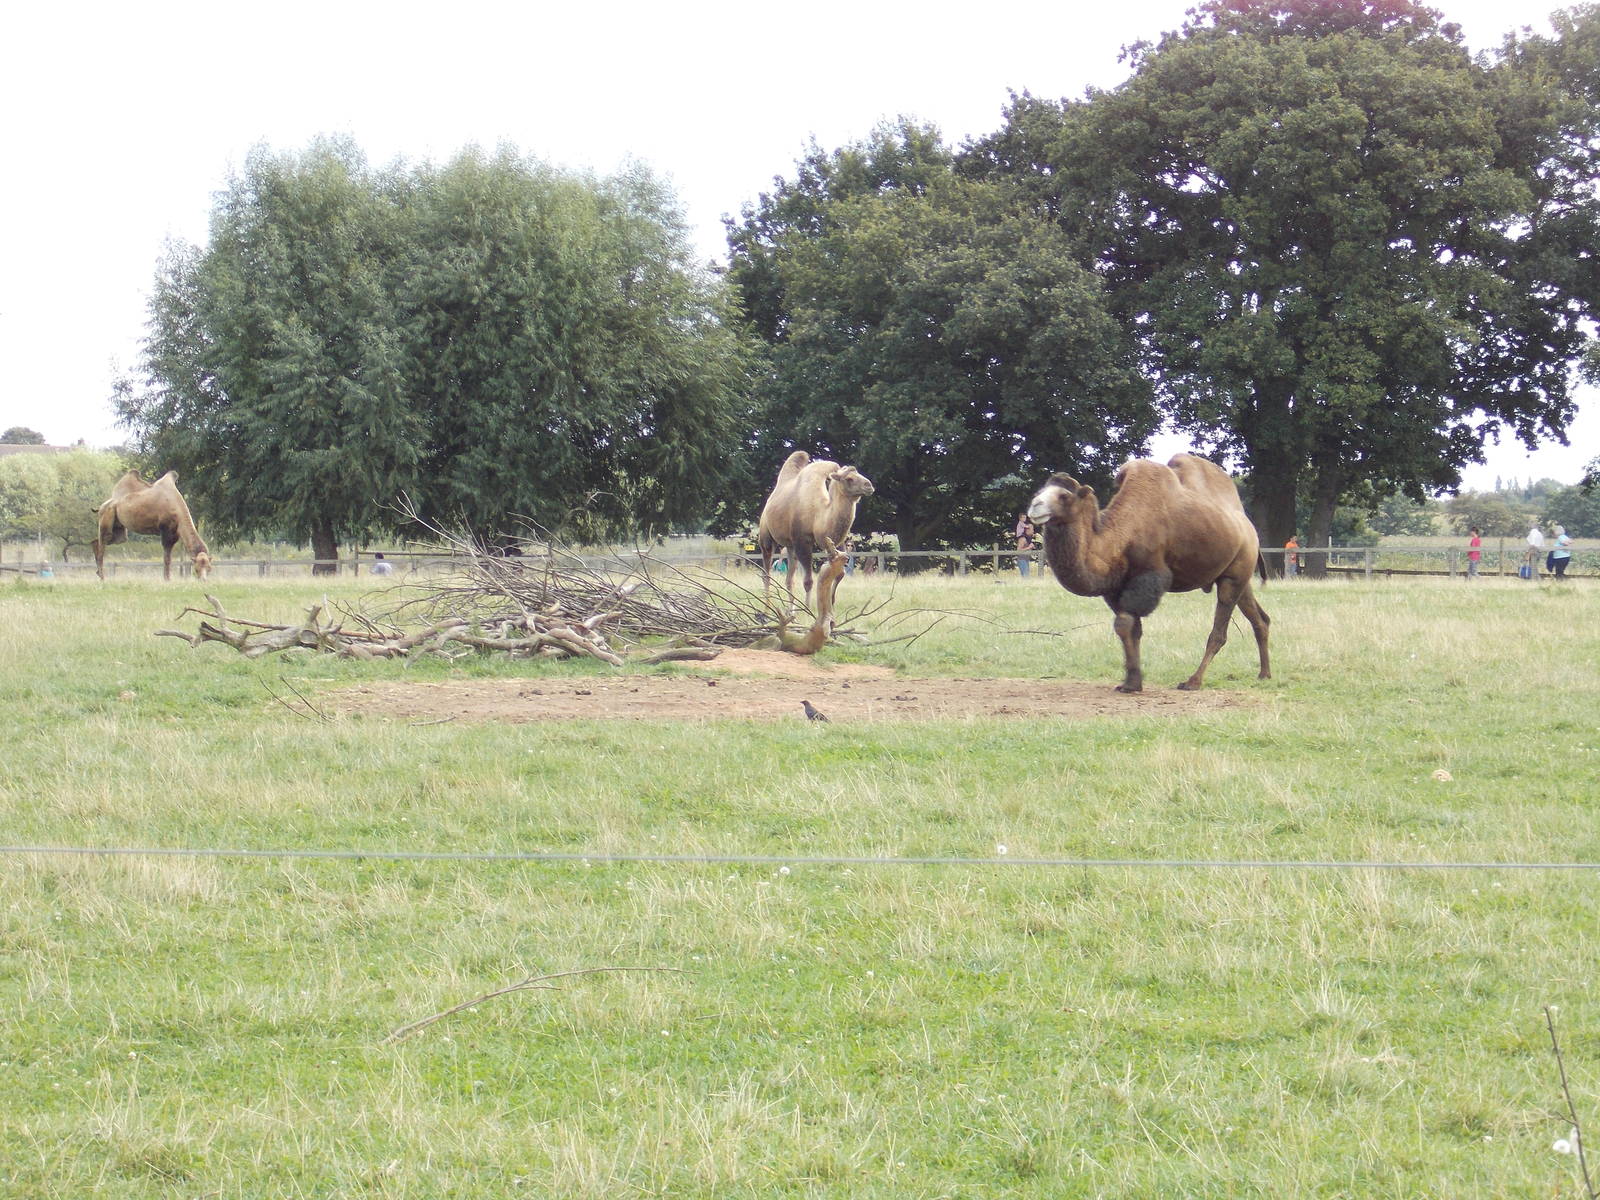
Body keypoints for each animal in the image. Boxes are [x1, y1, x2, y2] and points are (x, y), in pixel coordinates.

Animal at [757, 451, 874, 610]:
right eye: (849, 479)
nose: (869, 485)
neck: (818, 515)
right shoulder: (803, 541)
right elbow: (808, 581)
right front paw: (807, 609)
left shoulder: (835, 543)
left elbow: (840, 574)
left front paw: (830, 603)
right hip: (767, 537)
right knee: (767, 573)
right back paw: (767, 608)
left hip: (790, 546)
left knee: (789, 579)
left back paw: (790, 611)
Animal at [1026, 453, 1269, 693]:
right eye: (1038, 493)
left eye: (1064, 496)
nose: (1034, 506)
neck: (1118, 537)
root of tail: (1249, 528)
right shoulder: (1115, 588)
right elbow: (1134, 629)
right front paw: (1132, 682)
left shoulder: (1149, 576)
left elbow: (1124, 624)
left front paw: (1132, 682)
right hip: (1238, 576)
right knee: (1260, 618)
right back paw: (1264, 674)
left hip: (1235, 574)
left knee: (1219, 631)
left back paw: (1193, 681)